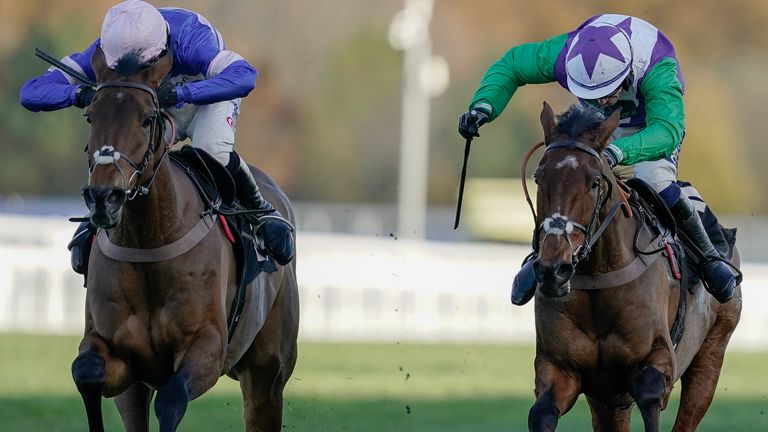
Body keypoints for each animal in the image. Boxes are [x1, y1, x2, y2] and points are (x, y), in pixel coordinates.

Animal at [72, 44, 298, 432]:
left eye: (147, 118)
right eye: (90, 116)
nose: (105, 197)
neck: (149, 241)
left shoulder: (208, 345)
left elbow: (172, 399)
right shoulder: (120, 357)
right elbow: (86, 371)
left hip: (268, 373)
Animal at [524, 103, 740, 430]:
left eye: (594, 182)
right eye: (539, 177)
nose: (554, 269)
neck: (599, 278)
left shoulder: (656, 362)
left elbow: (650, 394)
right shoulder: (560, 369)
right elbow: (542, 412)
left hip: (712, 351)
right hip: (608, 401)